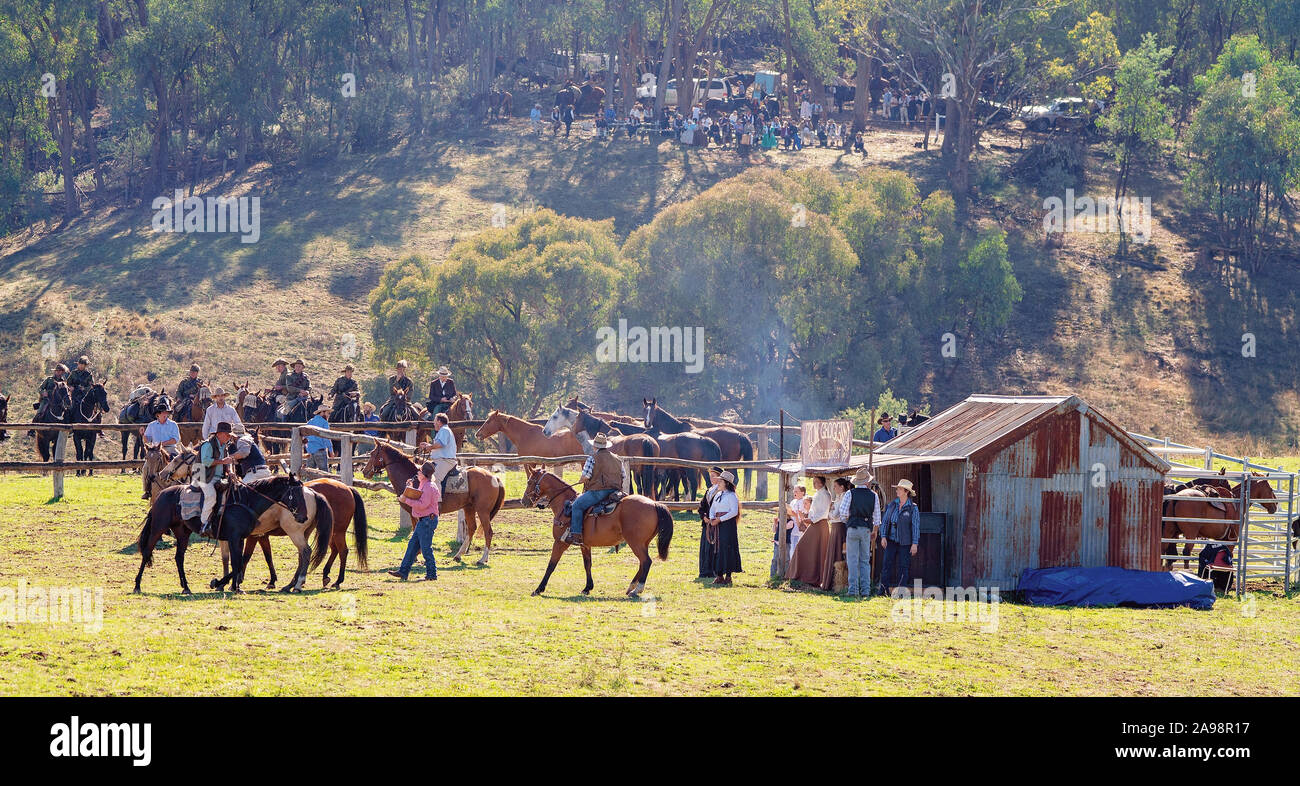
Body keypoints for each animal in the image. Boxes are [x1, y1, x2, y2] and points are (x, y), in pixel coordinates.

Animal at [366, 441, 512, 563]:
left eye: (372, 453)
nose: (364, 471)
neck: (413, 478)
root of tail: (495, 478)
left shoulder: (416, 512)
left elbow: (417, 532)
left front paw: (416, 555)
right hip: (469, 508)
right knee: (472, 529)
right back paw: (458, 555)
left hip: (483, 511)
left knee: (488, 532)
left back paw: (482, 559)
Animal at [520, 465, 676, 595]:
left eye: (529, 481)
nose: (523, 501)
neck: (565, 506)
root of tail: (655, 504)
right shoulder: (584, 544)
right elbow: (587, 564)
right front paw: (587, 587)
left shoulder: (560, 542)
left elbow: (551, 565)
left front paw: (539, 589)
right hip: (642, 543)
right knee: (642, 563)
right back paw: (631, 586)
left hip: (635, 543)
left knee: (646, 561)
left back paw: (637, 589)